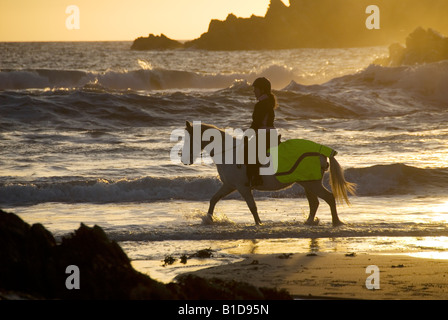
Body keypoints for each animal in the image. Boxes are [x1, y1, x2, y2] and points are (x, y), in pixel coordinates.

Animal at [180, 121, 356, 226]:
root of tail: (321, 152)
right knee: (315, 203)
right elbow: (213, 200)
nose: (184, 160)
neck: (228, 152)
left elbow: (252, 206)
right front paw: (208, 219)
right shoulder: (230, 185)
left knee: (329, 198)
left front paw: (259, 224)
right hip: (308, 183)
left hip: (312, 183)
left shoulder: (242, 187)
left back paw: (336, 222)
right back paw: (309, 222)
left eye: (189, 139)